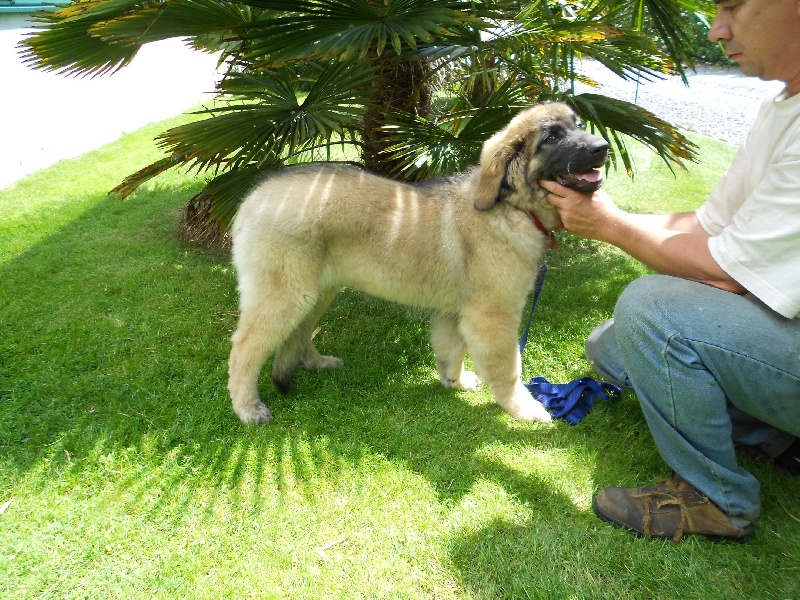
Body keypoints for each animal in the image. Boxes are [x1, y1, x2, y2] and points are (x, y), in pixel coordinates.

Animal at [225, 101, 608, 424]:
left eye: (578, 125)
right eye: (551, 137)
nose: (602, 147)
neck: (511, 206)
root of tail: (254, 198)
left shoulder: (457, 313)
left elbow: (452, 351)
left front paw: (454, 382)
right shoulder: (493, 315)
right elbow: (507, 369)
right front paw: (523, 409)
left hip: (317, 290)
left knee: (300, 332)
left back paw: (316, 362)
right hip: (286, 294)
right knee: (244, 348)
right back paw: (247, 408)